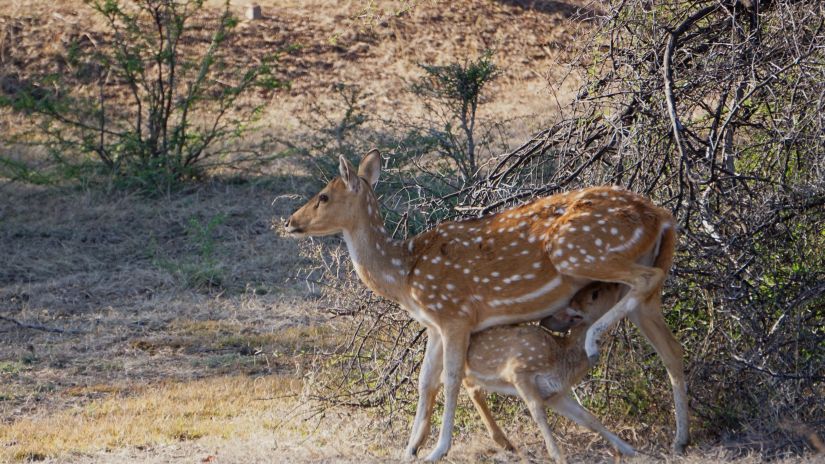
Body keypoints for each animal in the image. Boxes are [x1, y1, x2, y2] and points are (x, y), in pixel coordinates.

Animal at [466, 280, 636, 462]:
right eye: (595, 294)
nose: (616, 283)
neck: (561, 357)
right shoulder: (519, 370)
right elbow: (538, 413)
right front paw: (557, 456)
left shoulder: (553, 393)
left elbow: (588, 418)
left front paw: (629, 449)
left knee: (472, 387)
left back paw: (505, 443)